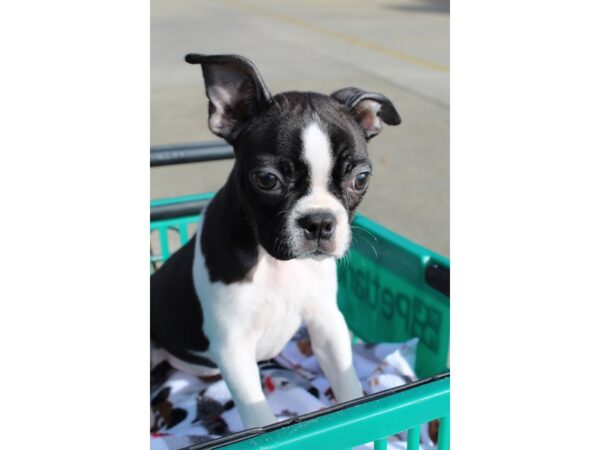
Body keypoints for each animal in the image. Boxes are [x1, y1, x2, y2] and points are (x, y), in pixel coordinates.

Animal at [152, 53, 400, 428]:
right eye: (267, 180)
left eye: (361, 178)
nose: (319, 222)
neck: (274, 262)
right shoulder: (233, 347)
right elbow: (259, 416)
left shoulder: (327, 322)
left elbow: (348, 384)